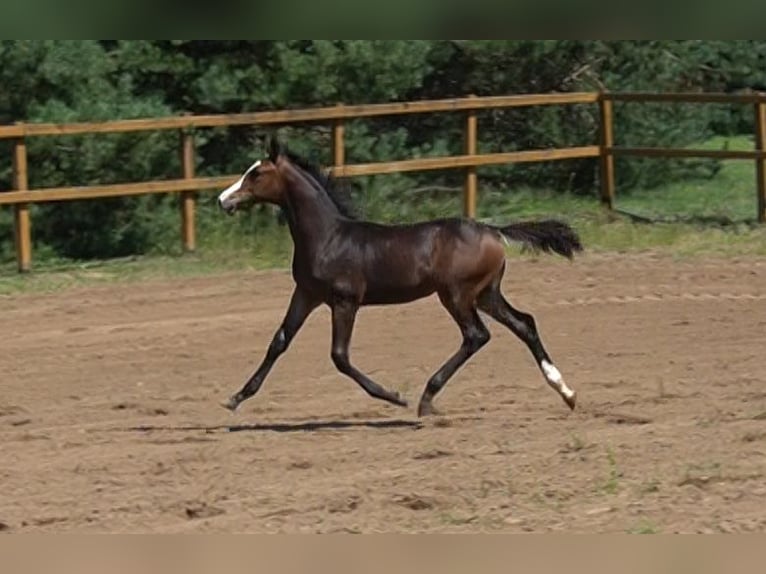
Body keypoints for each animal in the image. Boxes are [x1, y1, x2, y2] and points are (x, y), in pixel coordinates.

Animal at [216, 140, 584, 418]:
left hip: (456, 294)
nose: (223, 200)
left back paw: (426, 399)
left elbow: (340, 356)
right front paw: (235, 398)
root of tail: (493, 230)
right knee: (524, 323)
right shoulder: (306, 294)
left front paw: (394, 396)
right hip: (485, 294)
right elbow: (279, 341)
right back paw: (566, 392)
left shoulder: (345, 300)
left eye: (256, 173)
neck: (328, 236)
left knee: (476, 335)